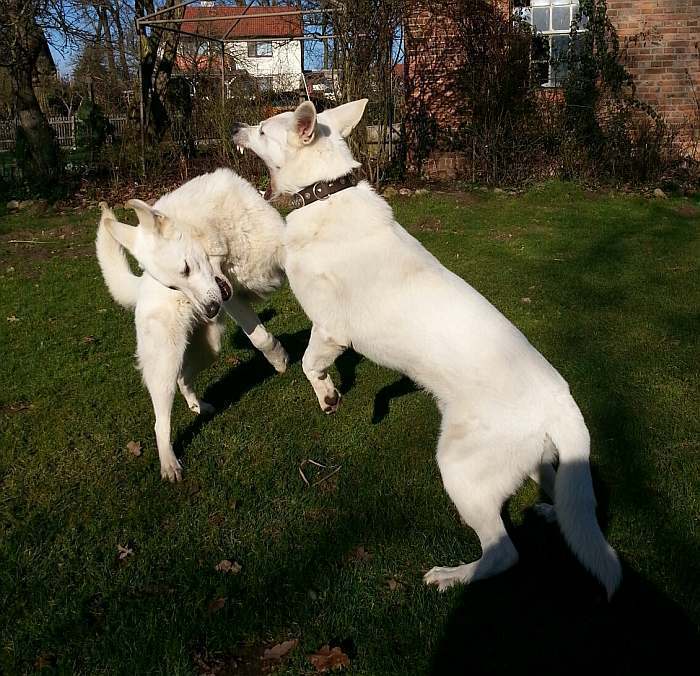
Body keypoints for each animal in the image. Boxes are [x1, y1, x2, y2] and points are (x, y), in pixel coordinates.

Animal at [95, 172, 288, 484]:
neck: (221, 237)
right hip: (164, 363)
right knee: (160, 421)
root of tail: (141, 286)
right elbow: (259, 337)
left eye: (185, 269)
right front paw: (282, 361)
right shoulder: (231, 298)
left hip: (210, 347)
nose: (209, 310)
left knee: (184, 377)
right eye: (173, 286)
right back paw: (169, 463)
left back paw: (199, 407)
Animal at [234, 97, 624, 596]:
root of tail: (561, 400)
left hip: (459, 470)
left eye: (264, 130)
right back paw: (551, 514)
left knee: (504, 552)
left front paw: (327, 395)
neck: (326, 193)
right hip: (538, 463)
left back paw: (453, 575)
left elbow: (308, 364)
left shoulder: (330, 329)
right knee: (568, 502)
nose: (237, 128)